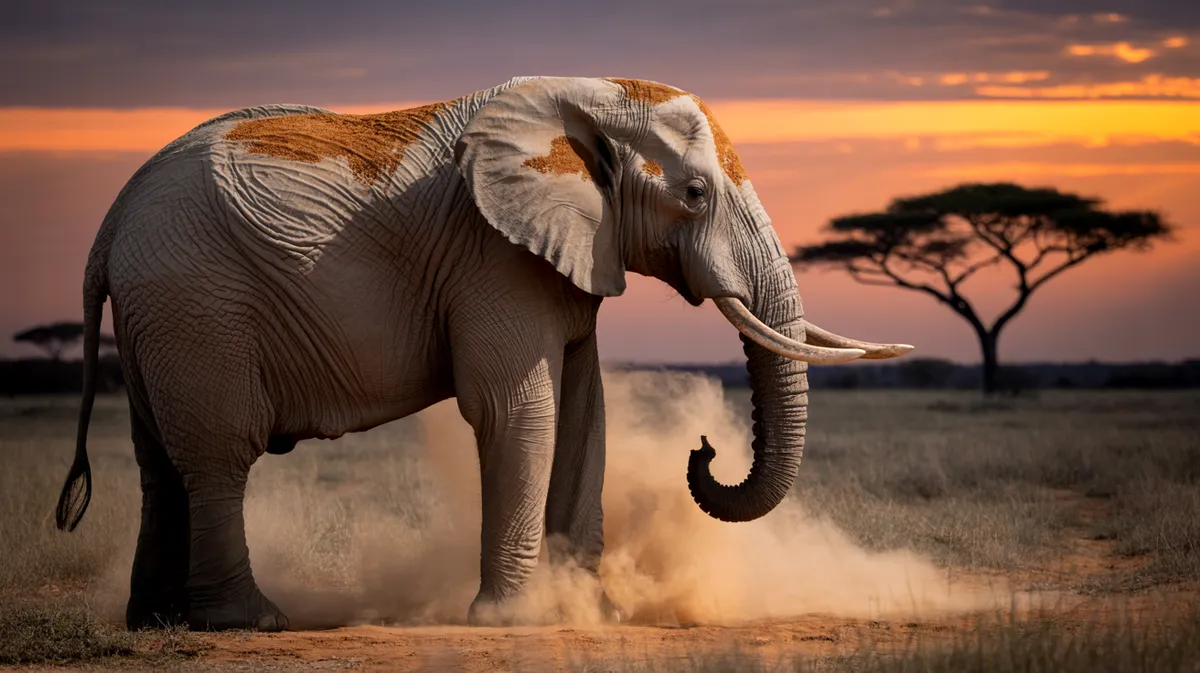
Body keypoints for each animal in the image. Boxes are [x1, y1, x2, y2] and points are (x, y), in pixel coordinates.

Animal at [53, 76, 912, 632]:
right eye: (696, 195)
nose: (702, 447)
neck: (586, 101)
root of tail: (107, 226)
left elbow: (587, 412)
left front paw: (591, 613)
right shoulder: (491, 256)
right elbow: (516, 410)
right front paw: (517, 621)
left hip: (162, 313)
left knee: (160, 460)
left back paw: (155, 621)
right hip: (196, 304)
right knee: (219, 452)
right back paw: (251, 622)